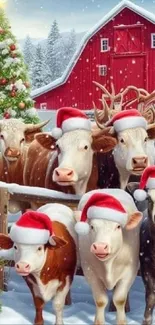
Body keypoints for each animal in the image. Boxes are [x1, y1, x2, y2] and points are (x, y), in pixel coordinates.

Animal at [74, 187, 142, 324]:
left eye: (118, 226)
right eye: (92, 226)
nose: (100, 246)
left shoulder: (130, 271)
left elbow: (119, 299)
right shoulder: (90, 271)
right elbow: (100, 300)